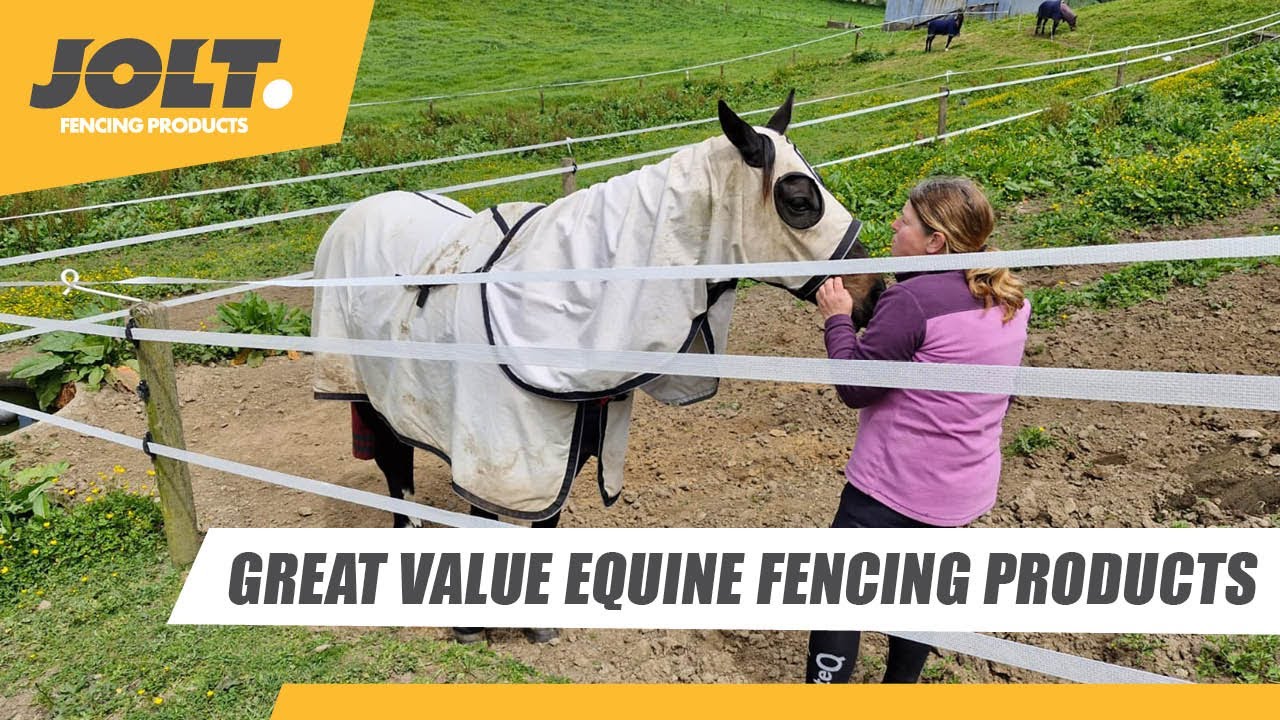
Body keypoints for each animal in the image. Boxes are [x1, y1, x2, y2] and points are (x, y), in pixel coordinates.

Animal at [311, 93, 884, 531]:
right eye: (799, 200)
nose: (873, 291)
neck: (567, 292)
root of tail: (352, 215)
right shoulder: (498, 463)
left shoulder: (564, 464)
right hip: (367, 392)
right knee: (395, 468)